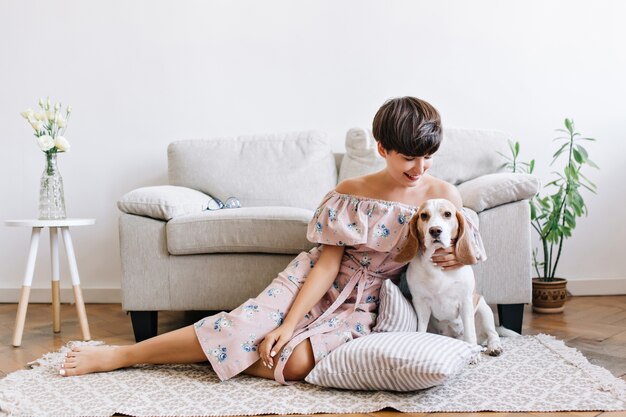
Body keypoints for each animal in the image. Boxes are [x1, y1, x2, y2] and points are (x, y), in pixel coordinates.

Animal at [394, 198, 502, 354]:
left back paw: (494, 347)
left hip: (484, 309)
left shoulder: (465, 302)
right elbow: (421, 330)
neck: (436, 268)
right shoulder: (421, 304)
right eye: (424, 215)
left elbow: (470, 333)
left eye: (447, 214)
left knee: (492, 334)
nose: (435, 230)